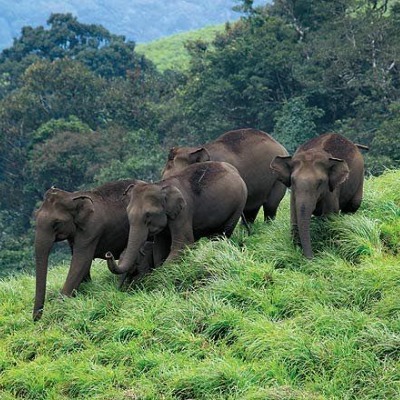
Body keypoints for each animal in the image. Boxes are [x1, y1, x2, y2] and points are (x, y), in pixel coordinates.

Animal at [32, 180, 143, 320]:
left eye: (56, 223)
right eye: (35, 217)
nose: (36, 319)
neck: (73, 196)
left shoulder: (92, 229)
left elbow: (81, 260)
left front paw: (59, 308)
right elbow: (81, 262)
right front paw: (85, 288)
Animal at [105, 160, 247, 276]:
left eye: (148, 214)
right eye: (128, 213)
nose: (108, 254)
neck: (160, 186)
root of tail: (235, 170)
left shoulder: (183, 212)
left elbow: (182, 243)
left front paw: (160, 276)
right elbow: (159, 248)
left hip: (239, 204)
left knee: (223, 232)